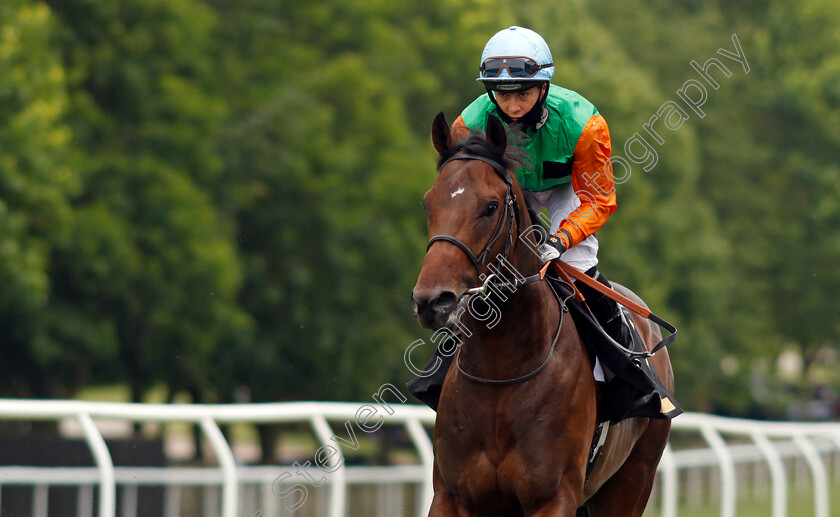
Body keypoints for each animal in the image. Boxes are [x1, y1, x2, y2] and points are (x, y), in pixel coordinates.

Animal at [410, 113, 672, 516]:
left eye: (490, 206)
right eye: (428, 203)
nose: (431, 300)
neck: (501, 372)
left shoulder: (553, 497)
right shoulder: (451, 496)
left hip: (632, 482)